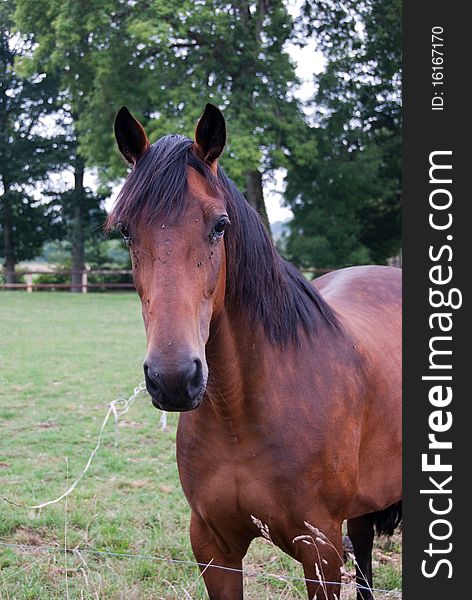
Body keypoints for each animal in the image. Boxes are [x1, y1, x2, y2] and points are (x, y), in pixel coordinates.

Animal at [108, 105, 402, 596]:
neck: (240, 415)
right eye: (127, 232)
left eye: (219, 225)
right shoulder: (214, 549)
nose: (174, 378)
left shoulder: (320, 551)